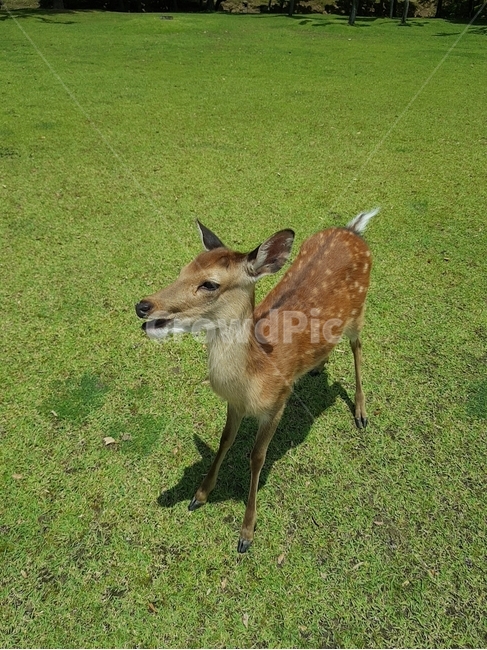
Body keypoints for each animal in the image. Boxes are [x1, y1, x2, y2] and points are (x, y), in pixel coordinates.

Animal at [135, 208, 378, 552]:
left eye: (209, 284)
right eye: (182, 271)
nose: (143, 306)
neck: (254, 378)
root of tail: (353, 230)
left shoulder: (278, 401)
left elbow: (257, 457)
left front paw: (246, 533)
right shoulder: (234, 405)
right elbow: (224, 440)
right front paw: (199, 495)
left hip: (359, 311)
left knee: (358, 346)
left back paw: (360, 412)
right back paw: (318, 367)